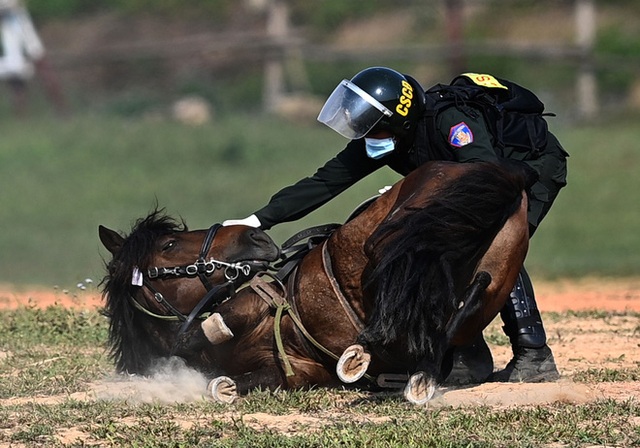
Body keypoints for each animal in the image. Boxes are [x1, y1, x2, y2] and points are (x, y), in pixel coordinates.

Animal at [100, 160, 532, 402]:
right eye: (170, 244)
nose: (257, 237)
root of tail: (499, 174)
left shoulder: (255, 305)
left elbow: (215, 328)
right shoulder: (301, 371)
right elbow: (235, 379)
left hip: (396, 238)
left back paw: (377, 354)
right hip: (496, 265)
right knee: (469, 294)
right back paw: (412, 369)